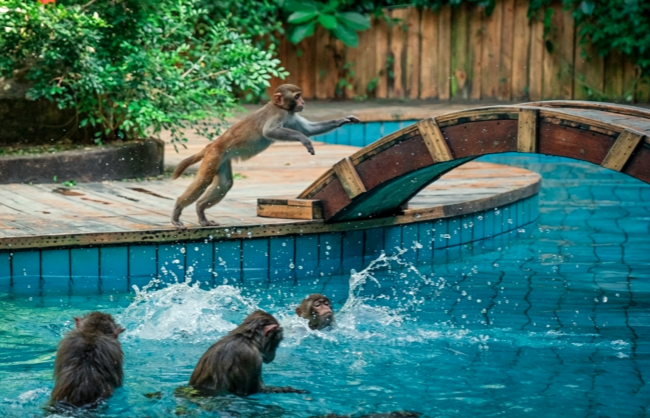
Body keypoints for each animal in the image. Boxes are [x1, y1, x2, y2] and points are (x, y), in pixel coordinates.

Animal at [170, 84, 360, 230]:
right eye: (297, 96)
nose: (303, 102)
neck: (280, 107)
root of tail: (212, 144)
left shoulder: (291, 115)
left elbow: (308, 129)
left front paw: (342, 120)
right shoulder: (280, 114)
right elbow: (270, 131)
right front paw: (303, 139)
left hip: (222, 159)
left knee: (225, 184)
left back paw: (200, 210)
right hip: (214, 155)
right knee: (204, 180)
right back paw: (178, 209)